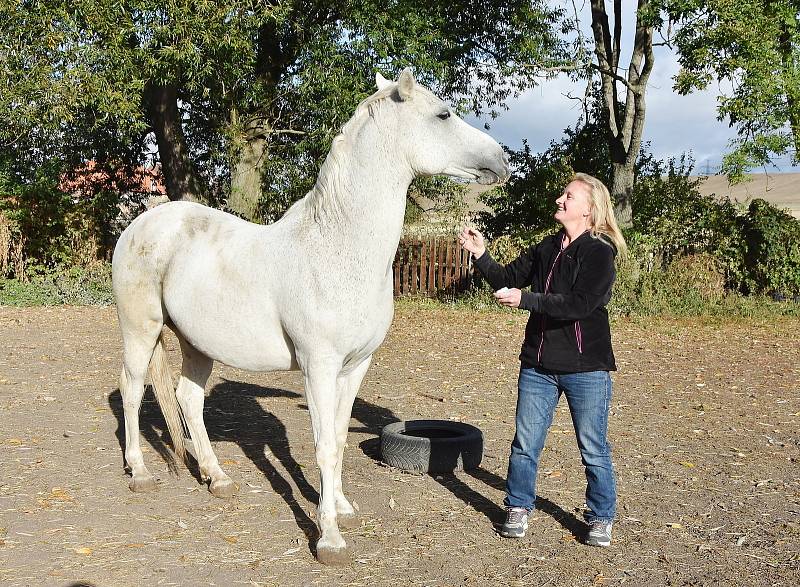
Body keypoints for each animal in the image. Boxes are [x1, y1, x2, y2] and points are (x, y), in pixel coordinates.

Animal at [112, 69, 510, 564]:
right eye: (443, 115)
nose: (501, 160)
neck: (336, 248)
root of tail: (139, 225)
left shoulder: (355, 366)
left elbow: (338, 438)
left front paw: (341, 507)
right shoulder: (317, 366)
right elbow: (322, 447)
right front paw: (329, 538)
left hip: (196, 343)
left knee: (189, 399)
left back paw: (217, 478)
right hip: (140, 331)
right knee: (131, 390)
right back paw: (140, 473)